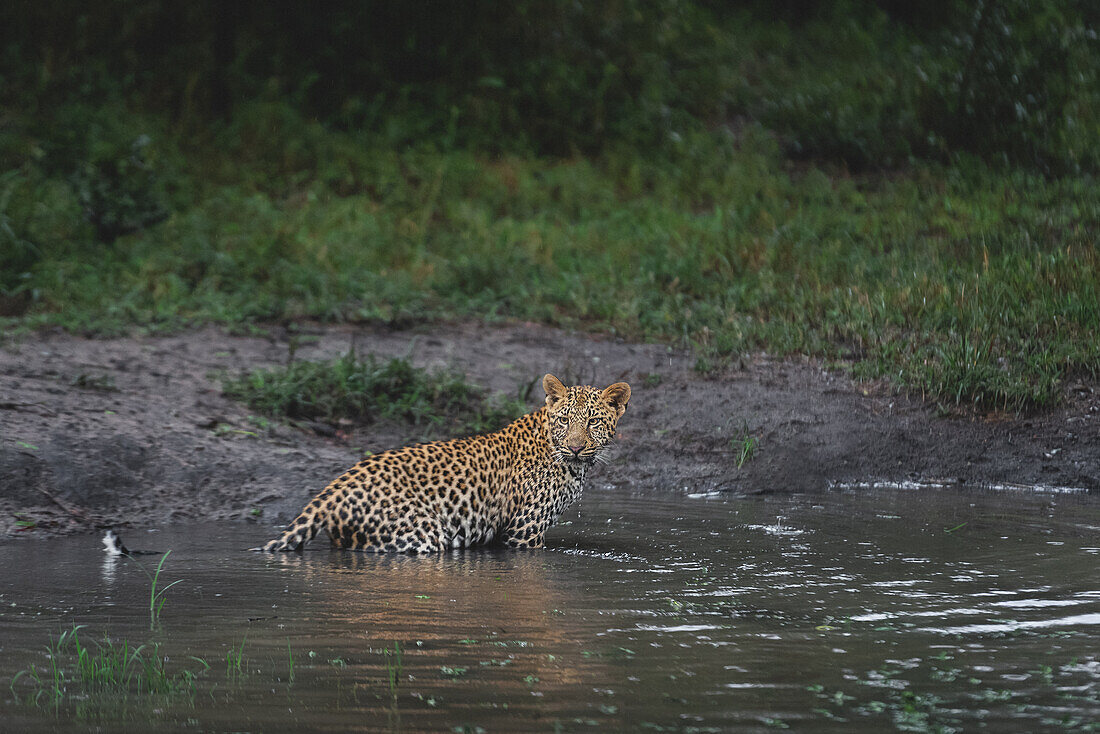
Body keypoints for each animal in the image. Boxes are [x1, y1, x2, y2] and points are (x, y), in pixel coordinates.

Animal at [257, 374, 633, 550]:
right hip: (420, 532)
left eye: (593, 422)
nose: (575, 447)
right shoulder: (525, 532)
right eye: (565, 420)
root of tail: (333, 489)